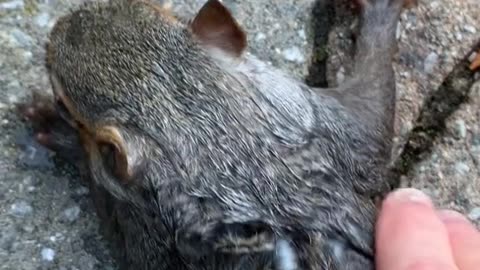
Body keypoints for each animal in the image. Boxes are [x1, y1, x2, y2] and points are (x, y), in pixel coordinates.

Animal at [17, 0, 408, 268]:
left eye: (65, 102)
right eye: (156, 6)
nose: (60, 25)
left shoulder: (157, 239)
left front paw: (56, 130)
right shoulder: (332, 127)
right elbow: (374, 107)